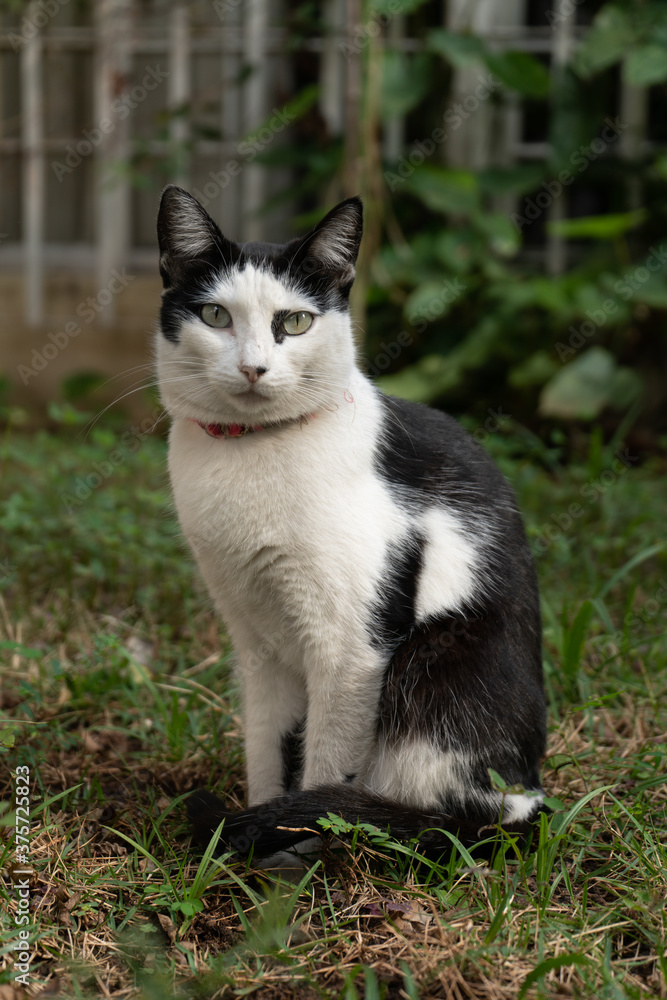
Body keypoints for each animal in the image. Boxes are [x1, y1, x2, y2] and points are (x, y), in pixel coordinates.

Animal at [157, 184, 548, 856]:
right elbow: (267, 747)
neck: (250, 450)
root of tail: (523, 801)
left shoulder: (351, 651)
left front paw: (297, 852)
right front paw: (252, 834)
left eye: (294, 322)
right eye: (215, 316)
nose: (254, 367)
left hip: (431, 666)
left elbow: (325, 766)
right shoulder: (255, 641)